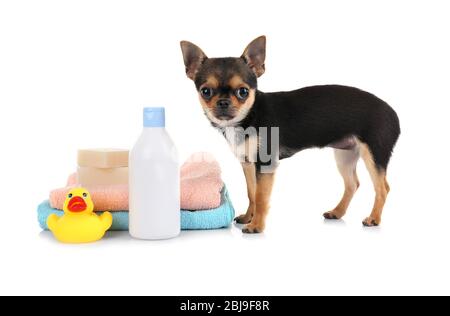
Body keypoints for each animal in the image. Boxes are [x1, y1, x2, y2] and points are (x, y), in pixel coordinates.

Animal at [181, 36, 400, 232]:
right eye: (206, 91)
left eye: (243, 92)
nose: (223, 102)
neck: (250, 116)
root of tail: (392, 112)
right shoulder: (248, 163)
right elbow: (252, 193)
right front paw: (248, 217)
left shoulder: (265, 164)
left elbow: (261, 197)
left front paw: (256, 226)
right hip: (345, 154)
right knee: (353, 184)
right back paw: (337, 212)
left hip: (373, 155)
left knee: (382, 188)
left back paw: (373, 218)